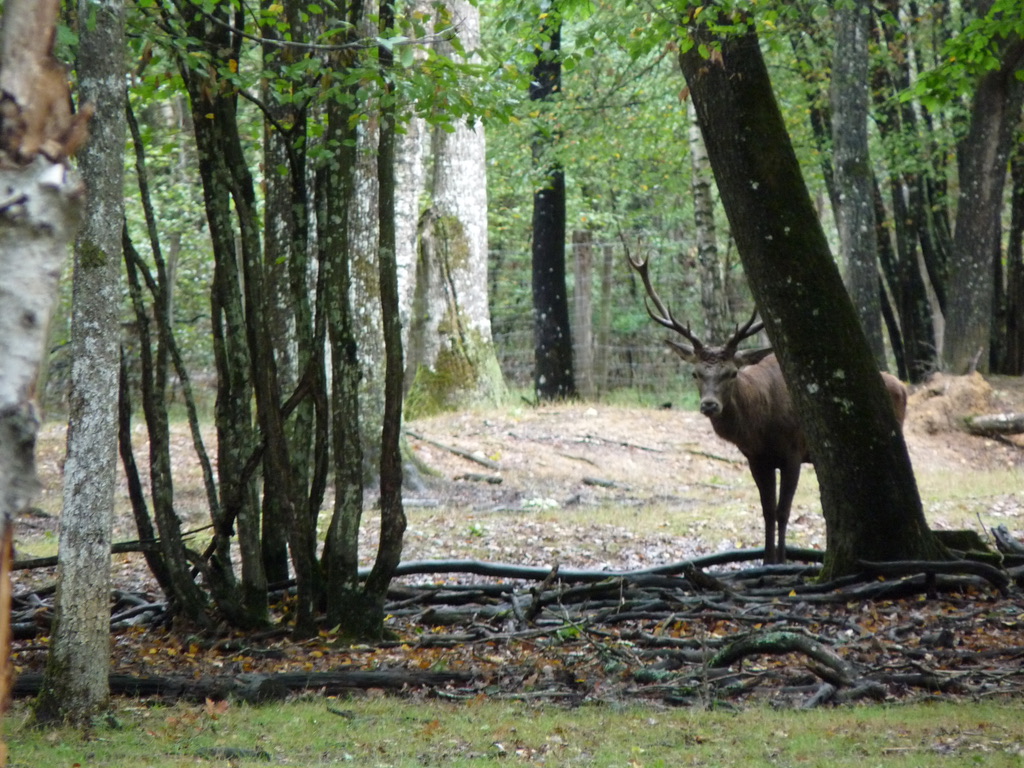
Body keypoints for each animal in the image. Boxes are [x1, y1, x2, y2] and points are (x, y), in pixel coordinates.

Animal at [626, 257, 909, 565]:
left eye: (732, 372)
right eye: (695, 373)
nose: (710, 404)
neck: (760, 427)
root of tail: (903, 387)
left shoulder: (793, 453)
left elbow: (783, 511)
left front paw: (781, 560)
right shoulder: (756, 458)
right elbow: (767, 510)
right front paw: (766, 560)